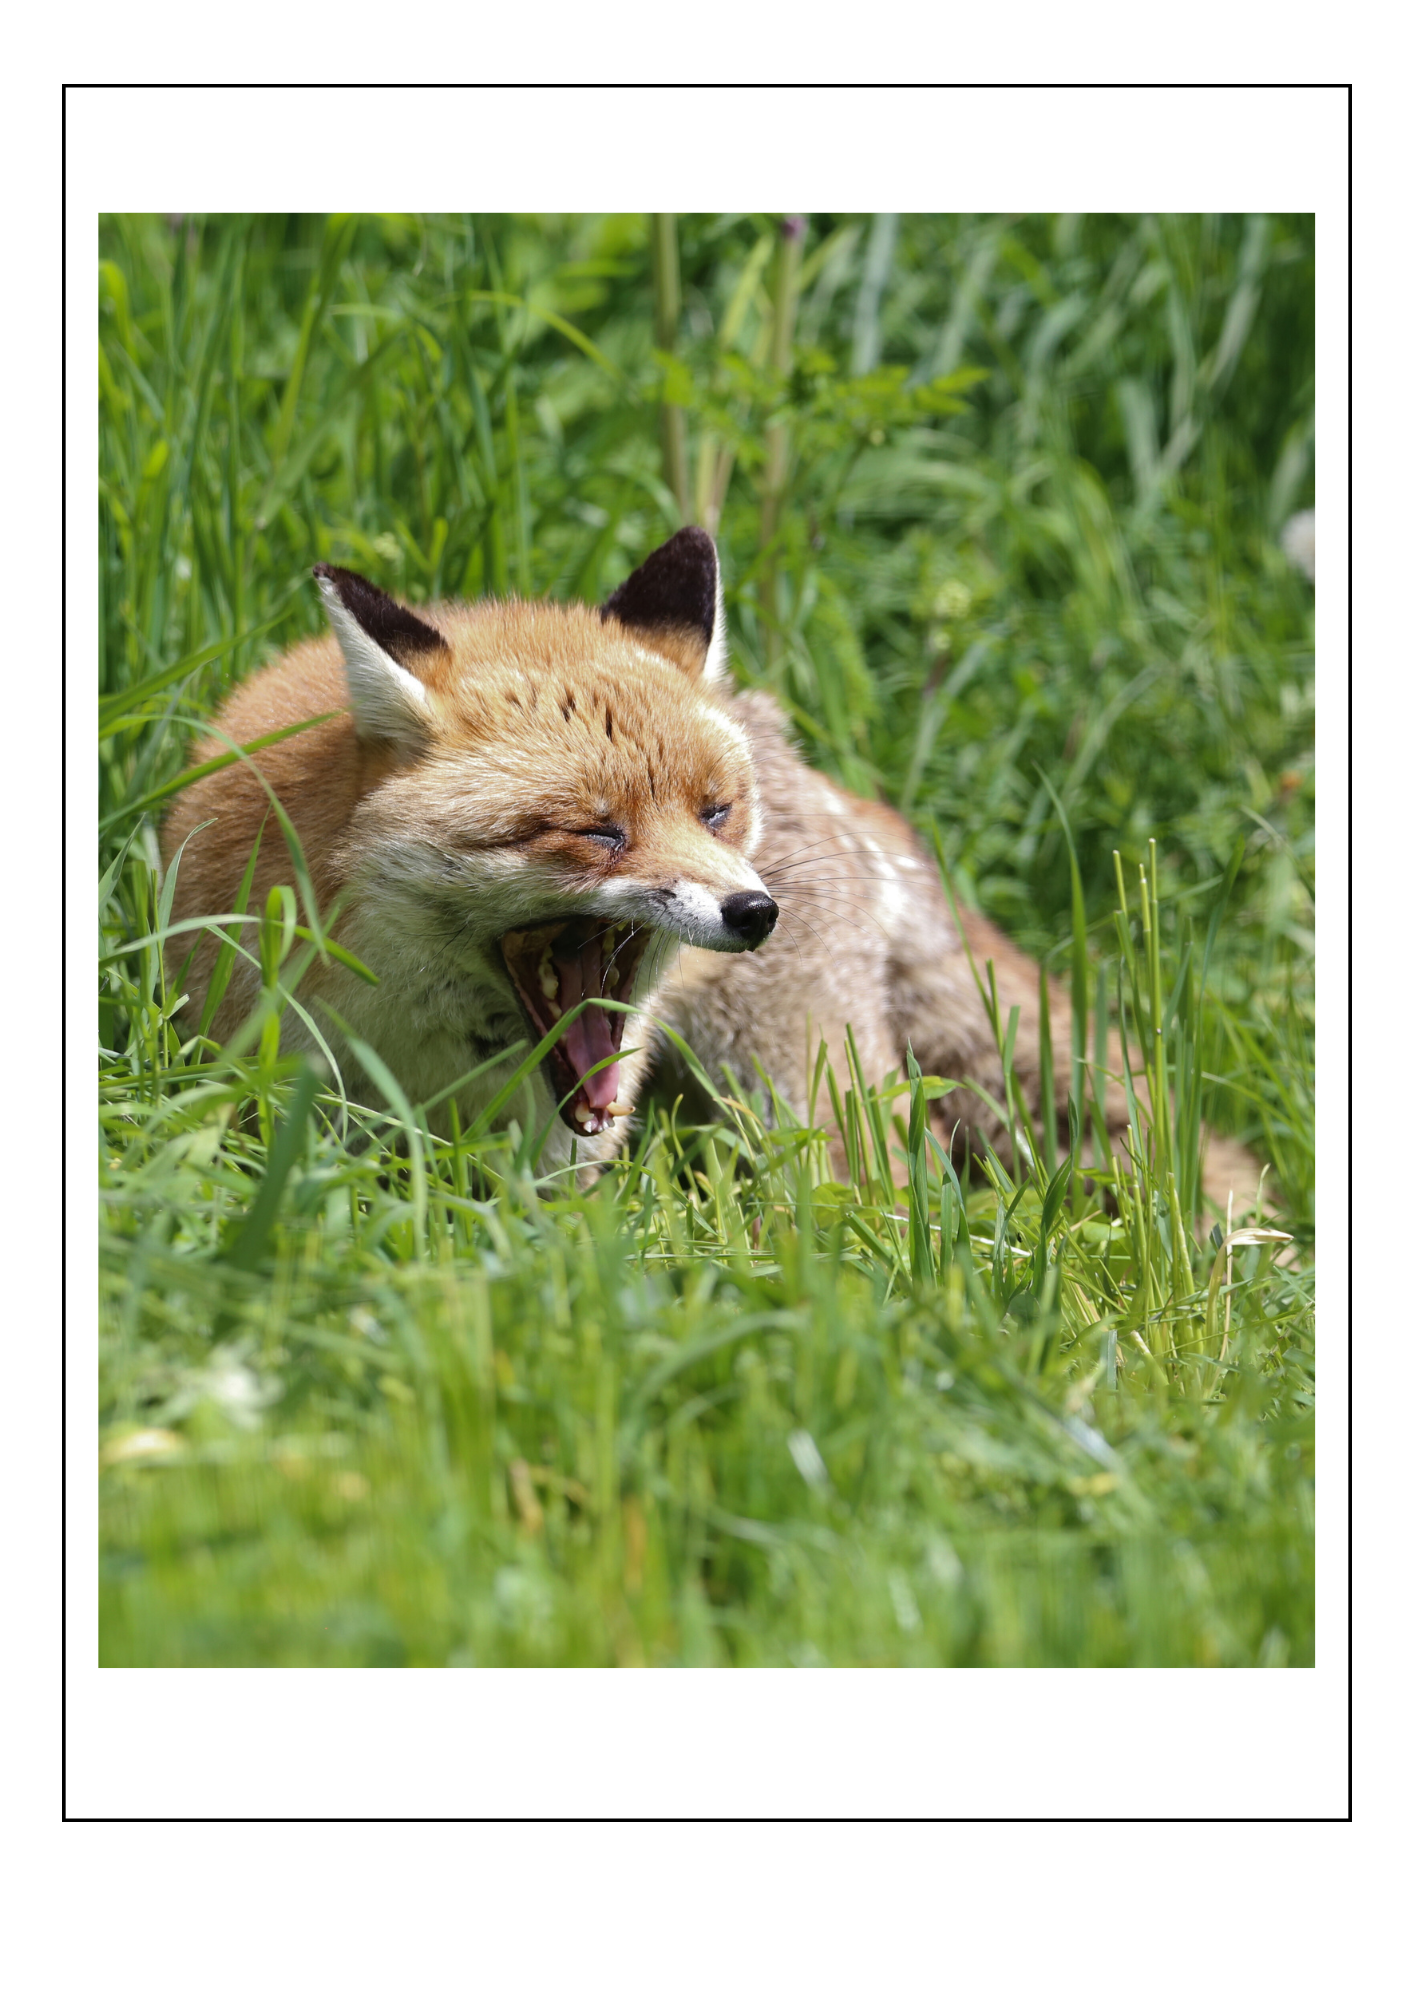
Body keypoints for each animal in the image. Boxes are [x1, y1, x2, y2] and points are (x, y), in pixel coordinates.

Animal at [163, 526, 1259, 1206]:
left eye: (714, 811)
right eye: (597, 831)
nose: (755, 909)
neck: (434, 1052)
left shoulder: (558, 1161)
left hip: (802, 1097)